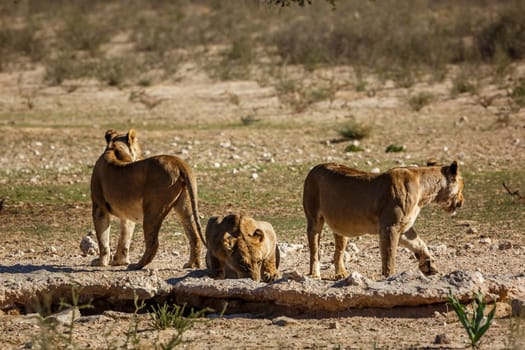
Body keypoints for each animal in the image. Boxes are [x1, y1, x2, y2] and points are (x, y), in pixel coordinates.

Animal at [90, 130, 205, 270]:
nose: (142, 155)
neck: (113, 148)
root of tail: (177, 162)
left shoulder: (99, 207)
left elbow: (103, 239)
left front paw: (101, 262)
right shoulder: (127, 215)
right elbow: (125, 237)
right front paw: (119, 261)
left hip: (153, 209)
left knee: (153, 243)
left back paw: (137, 265)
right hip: (184, 206)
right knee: (194, 236)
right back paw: (192, 264)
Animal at [300, 161, 464, 278]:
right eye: (462, 186)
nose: (462, 202)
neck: (424, 193)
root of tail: (315, 167)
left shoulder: (404, 228)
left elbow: (420, 244)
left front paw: (429, 266)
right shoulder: (390, 226)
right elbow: (389, 256)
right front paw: (390, 278)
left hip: (341, 226)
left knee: (338, 252)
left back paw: (341, 274)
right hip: (314, 220)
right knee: (314, 251)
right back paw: (315, 274)